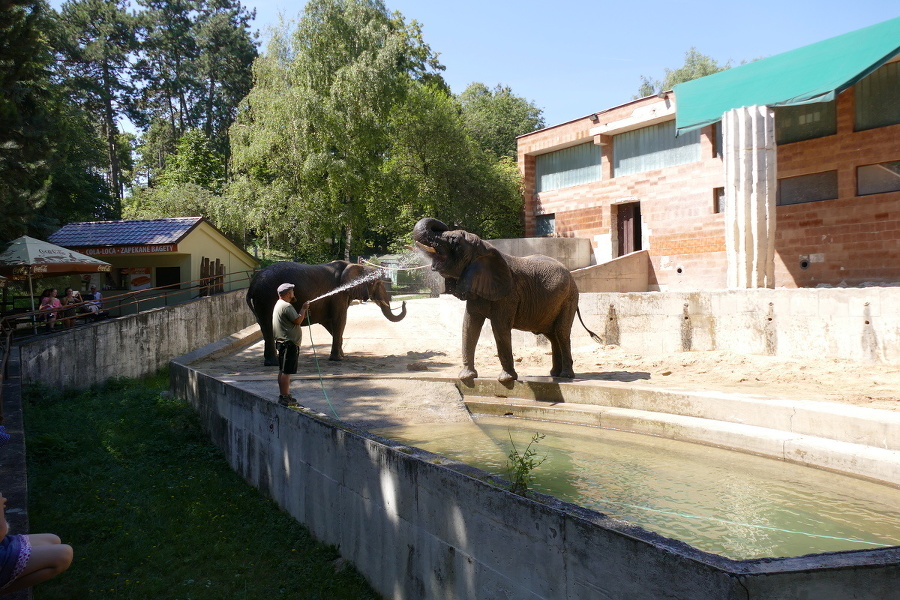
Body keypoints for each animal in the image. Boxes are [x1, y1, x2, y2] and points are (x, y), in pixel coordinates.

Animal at [246, 258, 408, 366]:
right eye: (378, 283)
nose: (404, 302)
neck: (355, 266)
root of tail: (252, 286)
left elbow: (331, 324)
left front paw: (342, 354)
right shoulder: (338, 295)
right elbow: (340, 320)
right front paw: (338, 359)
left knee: (264, 327)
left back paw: (271, 362)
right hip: (266, 298)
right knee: (268, 325)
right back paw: (273, 363)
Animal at [414, 218, 596, 382]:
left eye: (454, 241)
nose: (442, 225)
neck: (484, 248)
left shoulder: (509, 295)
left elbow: (499, 327)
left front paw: (506, 379)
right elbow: (469, 325)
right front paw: (466, 377)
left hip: (569, 298)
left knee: (561, 332)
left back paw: (565, 376)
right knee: (552, 335)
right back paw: (554, 374)